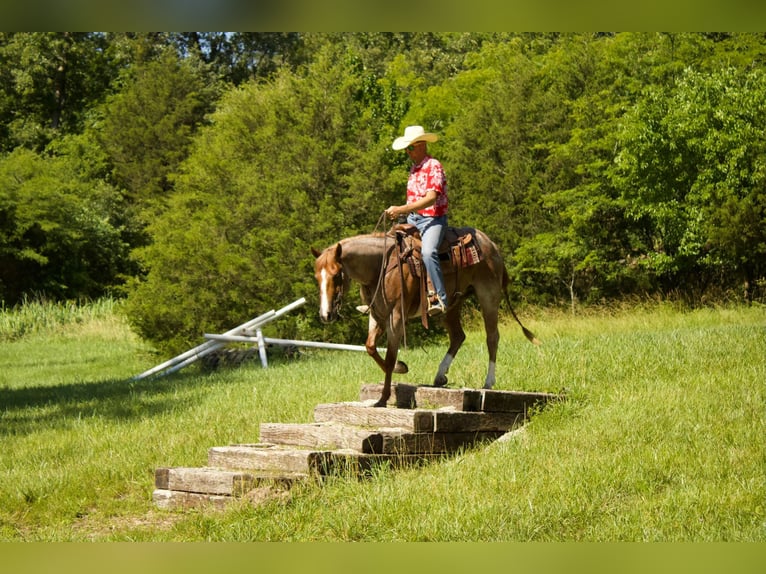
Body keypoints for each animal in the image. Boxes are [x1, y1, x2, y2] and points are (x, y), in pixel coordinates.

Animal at [312, 225, 540, 410]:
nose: (326, 314)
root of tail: (491, 245)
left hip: (488, 296)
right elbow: (370, 347)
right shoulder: (377, 315)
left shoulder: (396, 316)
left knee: (492, 337)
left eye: (336, 274)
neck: (380, 267)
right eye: (316, 277)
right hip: (451, 306)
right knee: (458, 336)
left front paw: (383, 398)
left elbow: (390, 356)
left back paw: (488, 382)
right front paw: (401, 368)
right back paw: (440, 376)